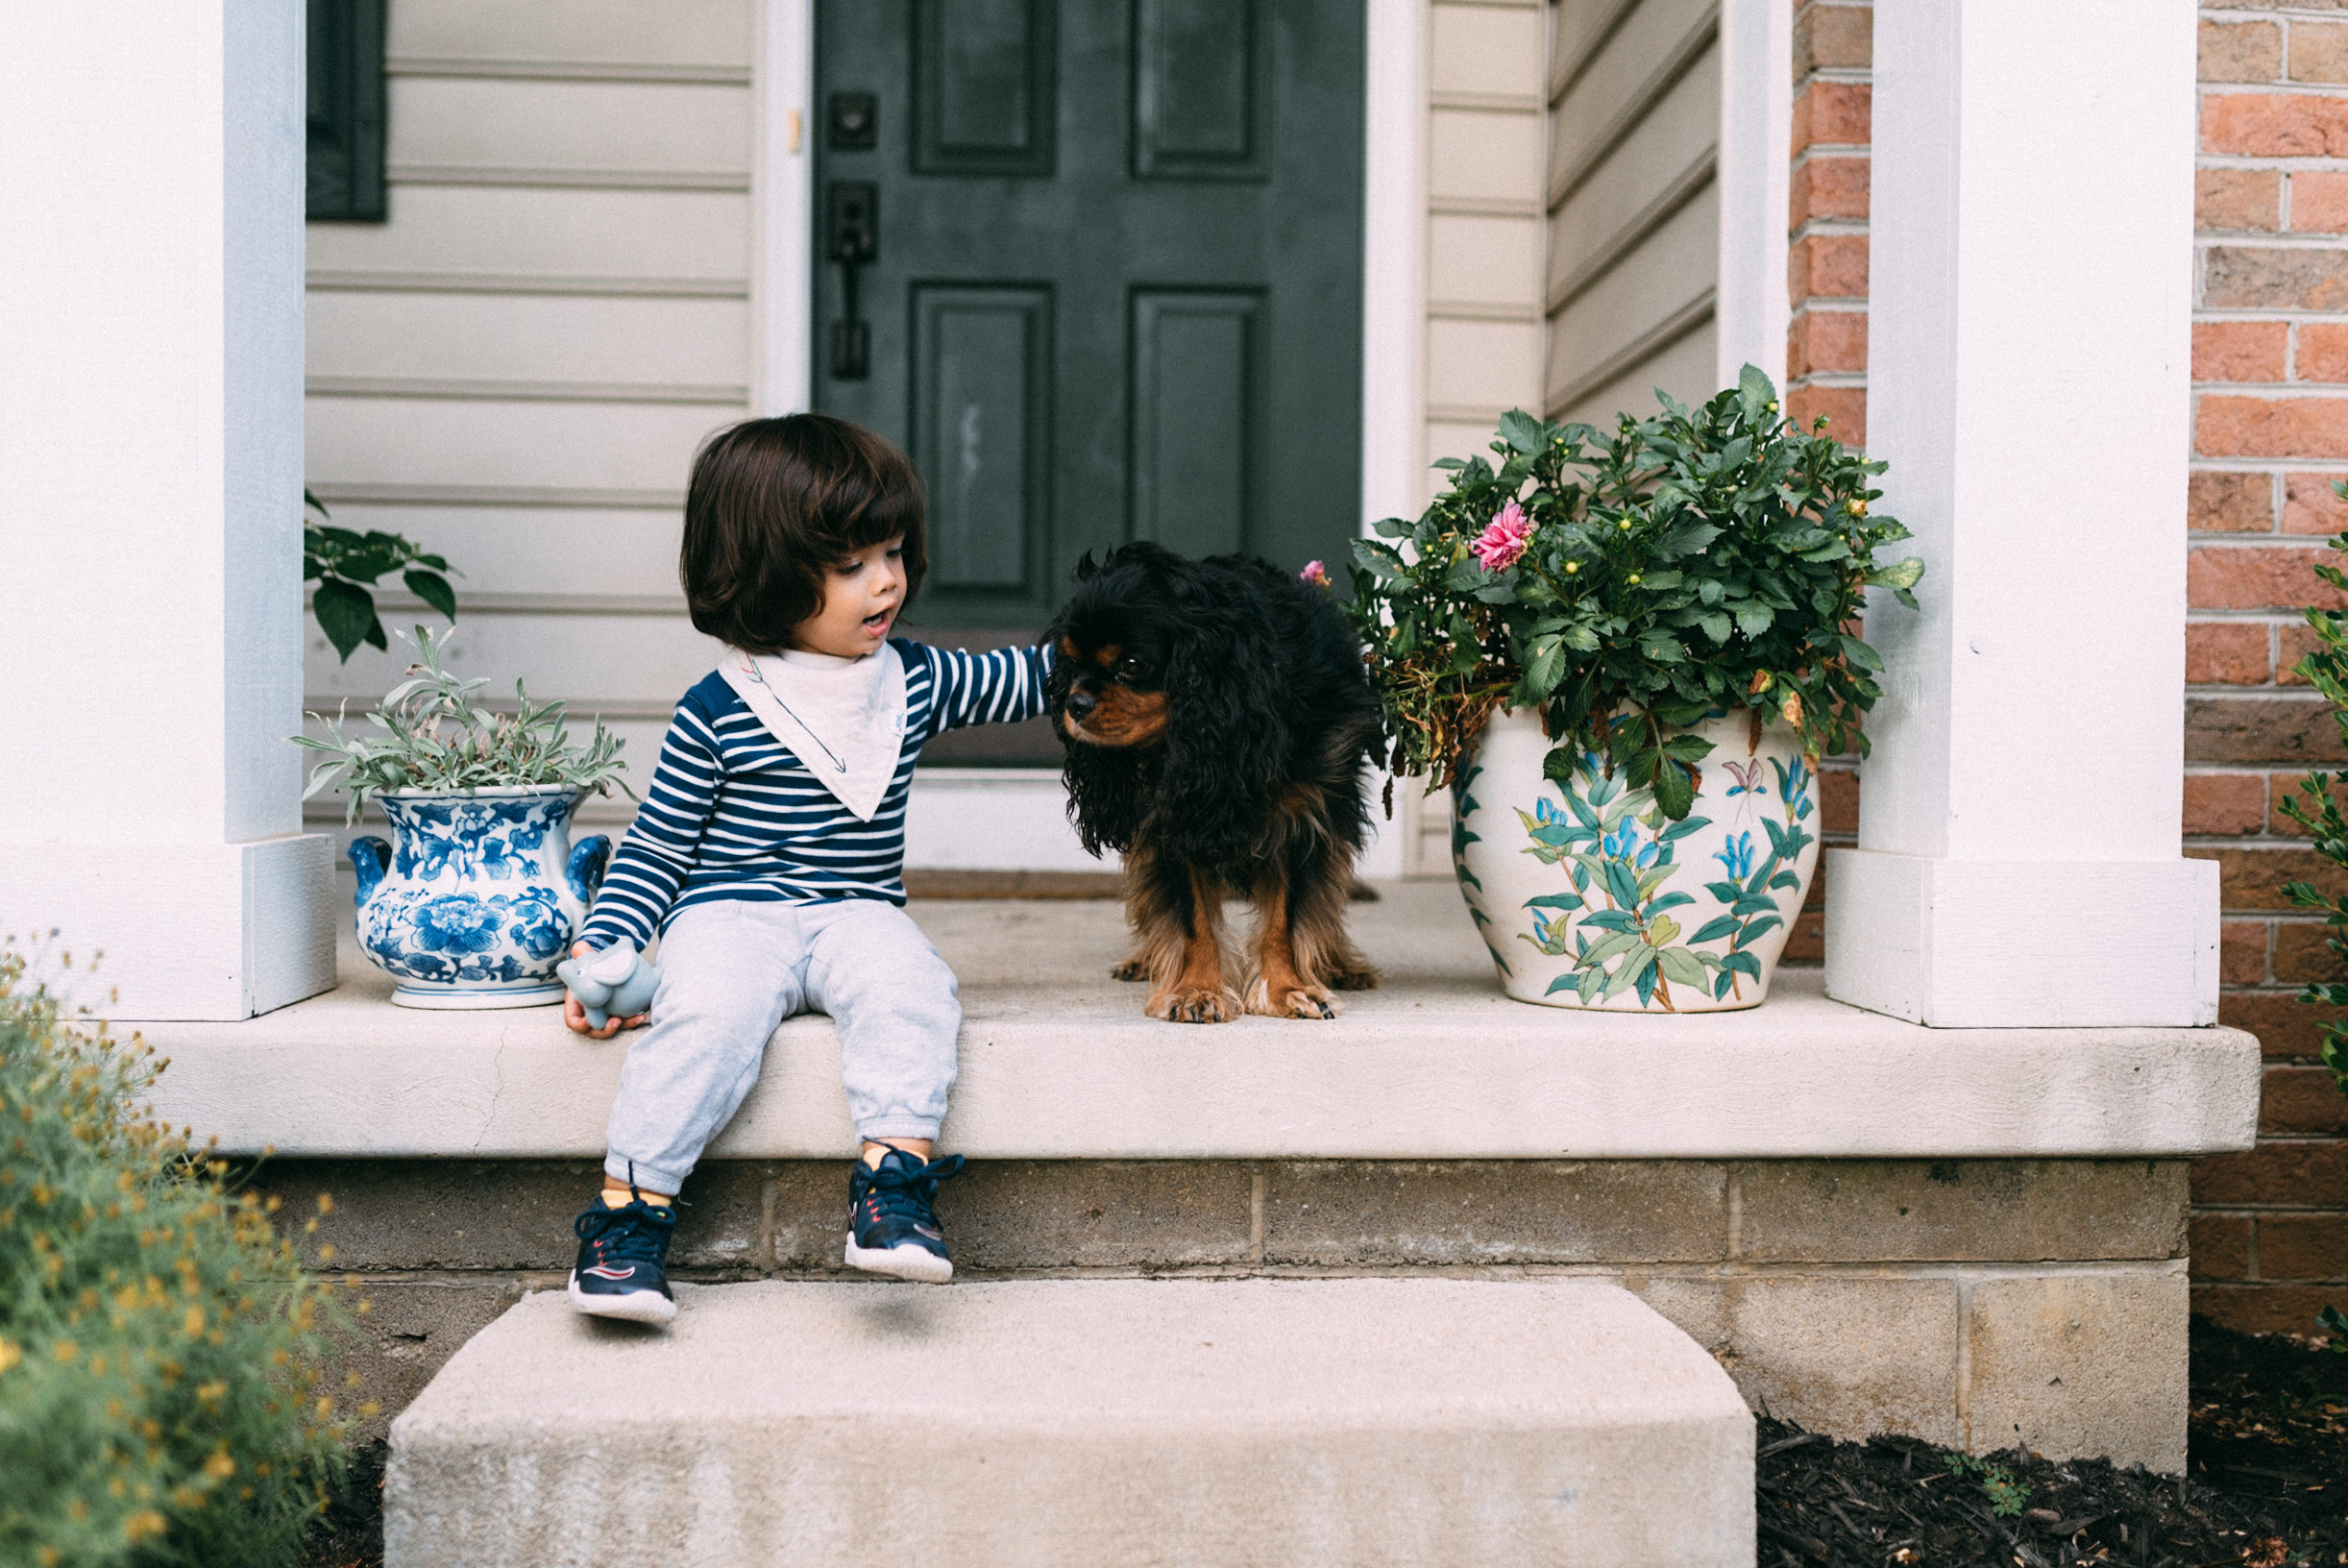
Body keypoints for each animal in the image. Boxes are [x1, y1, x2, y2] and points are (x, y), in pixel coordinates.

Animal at [1042, 544, 1371, 1023]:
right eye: (1070, 662)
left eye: (1132, 664)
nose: (1075, 703)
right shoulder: (1172, 821)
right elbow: (1191, 918)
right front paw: (1196, 990)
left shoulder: (1302, 819)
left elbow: (1285, 919)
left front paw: (1289, 989)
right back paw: (1143, 959)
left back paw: (1342, 964)